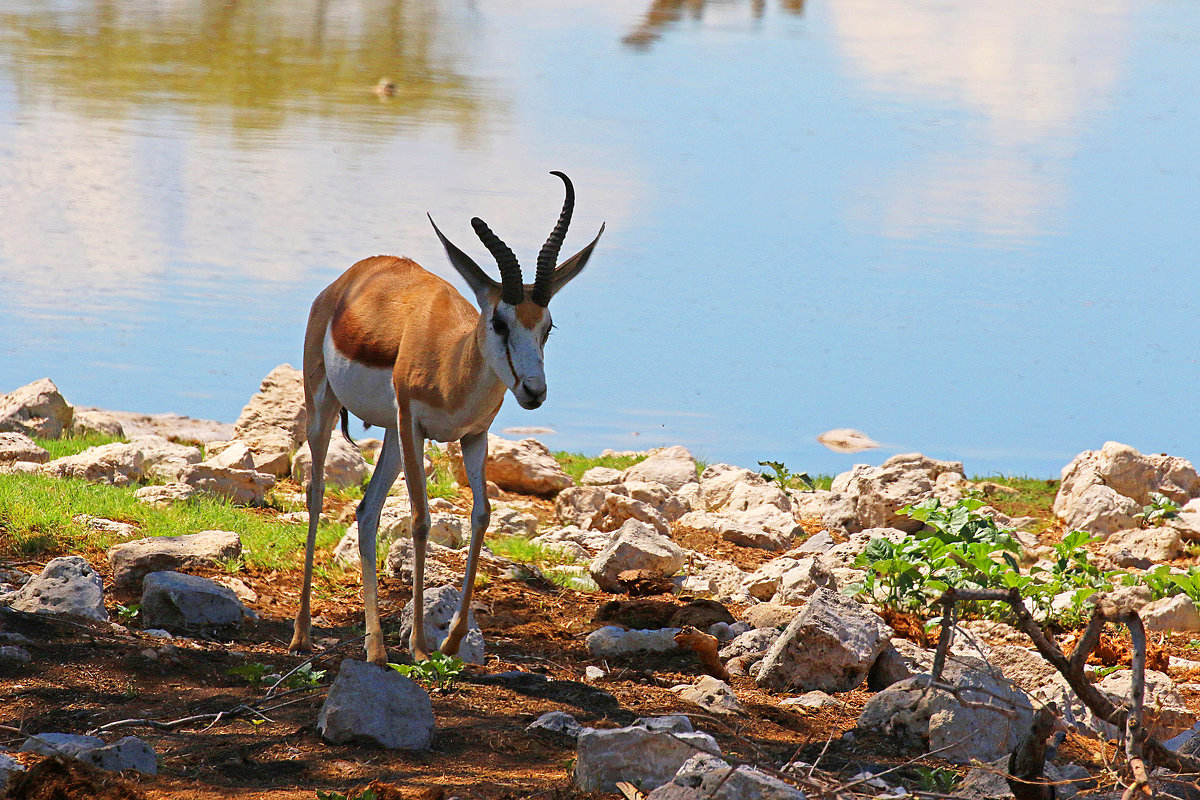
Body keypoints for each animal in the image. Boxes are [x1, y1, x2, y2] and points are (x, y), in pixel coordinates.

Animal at [286, 172, 604, 666]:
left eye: (547, 326)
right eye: (499, 322)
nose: (534, 391)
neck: (451, 361)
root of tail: (348, 280)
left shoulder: (474, 436)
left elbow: (482, 515)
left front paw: (452, 642)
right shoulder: (415, 426)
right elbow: (420, 520)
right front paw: (420, 644)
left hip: (392, 437)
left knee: (366, 510)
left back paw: (376, 649)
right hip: (326, 408)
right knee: (316, 493)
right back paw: (302, 635)